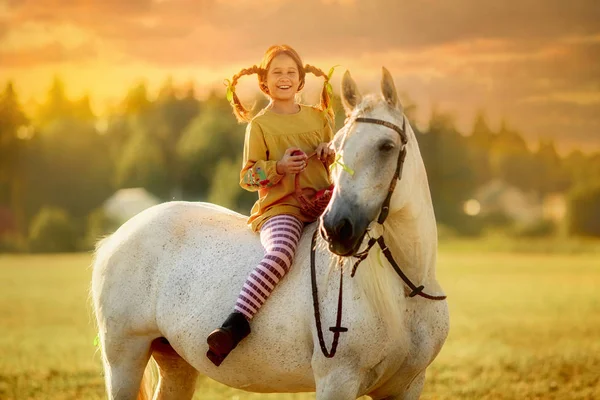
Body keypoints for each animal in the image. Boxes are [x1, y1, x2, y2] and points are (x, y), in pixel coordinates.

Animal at [92, 69, 450, 400]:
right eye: (337, 148)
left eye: (386, 146)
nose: (336, 228)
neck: (405, 289)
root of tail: (116, 238)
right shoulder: (337, 381)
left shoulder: (407, 386)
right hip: (124, 360)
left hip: (175, 361)